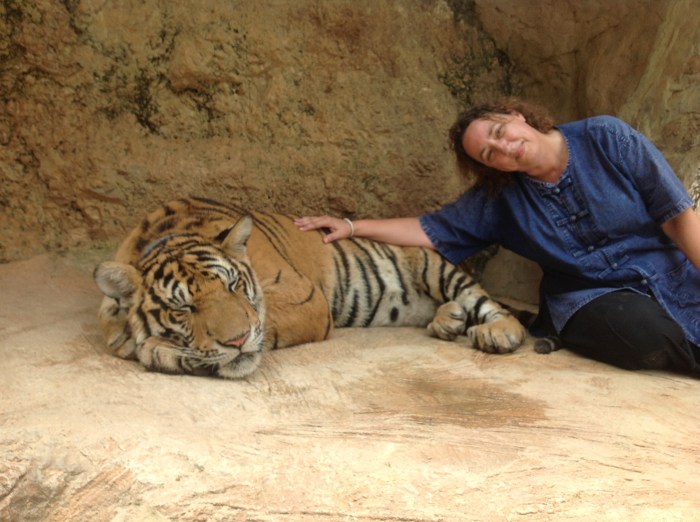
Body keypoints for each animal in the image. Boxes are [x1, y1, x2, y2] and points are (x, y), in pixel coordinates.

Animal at [93, 197, 528, 379]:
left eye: (233, 286)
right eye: (184, 309)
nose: (236, 342)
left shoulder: (305, 297)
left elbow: (265, 320)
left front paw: (156, 350)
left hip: (434, 266)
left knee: (490, 304)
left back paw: (497, 332)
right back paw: (447, 320)